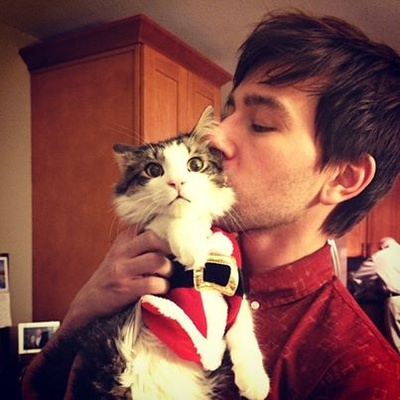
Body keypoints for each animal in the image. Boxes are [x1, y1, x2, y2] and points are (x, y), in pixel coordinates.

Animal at [73, 106, 270, 400]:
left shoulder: (235, 289)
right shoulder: (147, 230)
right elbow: (163, 218)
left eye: (195, 165)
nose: (177, 182)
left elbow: (245, 327)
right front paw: (189, 245)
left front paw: (255, 381)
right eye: (154, 170)